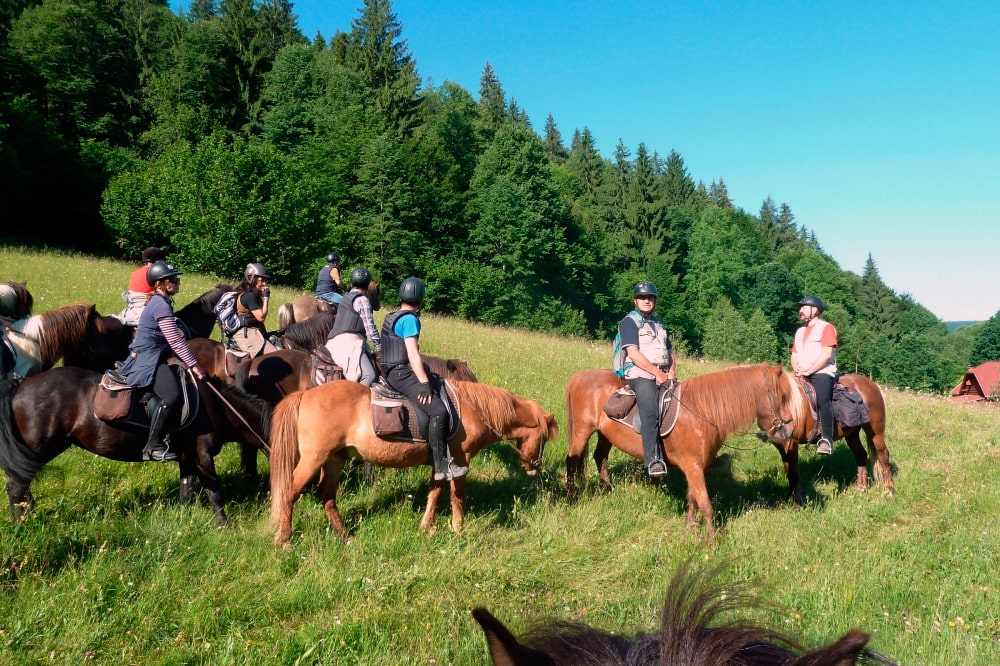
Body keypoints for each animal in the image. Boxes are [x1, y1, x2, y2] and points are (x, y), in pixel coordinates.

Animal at [0, 364, 272, 524]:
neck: (217, 408)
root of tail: (22, 383)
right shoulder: (202, 456)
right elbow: (214, 492)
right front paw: (224, 526)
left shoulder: (187, 458)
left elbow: (186, 490)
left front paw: (181, 519)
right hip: (38, 450)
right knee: (16, 488)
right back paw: (21, 524)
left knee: (21, 489)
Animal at [270, 376, 560, 544]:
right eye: (544, 438)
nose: (534, 468)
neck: (472, 410)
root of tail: (305, 395)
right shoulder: (460, 460)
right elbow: (457, 496)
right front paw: (458, 528)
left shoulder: (440, 464)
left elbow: (435, 492)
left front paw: (427, 527)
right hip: (314, 458)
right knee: (290, 492)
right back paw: (284, 539)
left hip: (334, 459)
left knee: (327, 496)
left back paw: (346, 536)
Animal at [568, 364, 800, 540]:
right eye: (782, 396)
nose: (790, 431)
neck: (702, 412)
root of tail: (580, 375)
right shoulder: (693, 466)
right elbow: (705, 503)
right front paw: (712, 541)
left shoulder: (695, 467)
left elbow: (693, 498)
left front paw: (691, 527)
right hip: (582, 431)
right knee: (572, 461)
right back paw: (571, 495)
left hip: (605, 434)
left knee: (600, 457)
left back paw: (607, 488)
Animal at [776, 374, 896, 504]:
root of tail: (873, 385)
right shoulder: (782, 446)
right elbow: (788, 470)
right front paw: (791, 498)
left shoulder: (791, 442)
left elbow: (793, 473)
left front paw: (797, 502)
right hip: (852, 433)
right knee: (861, 455)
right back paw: (861, 489)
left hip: (875, 432)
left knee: (883, 455)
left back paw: (889, 491)